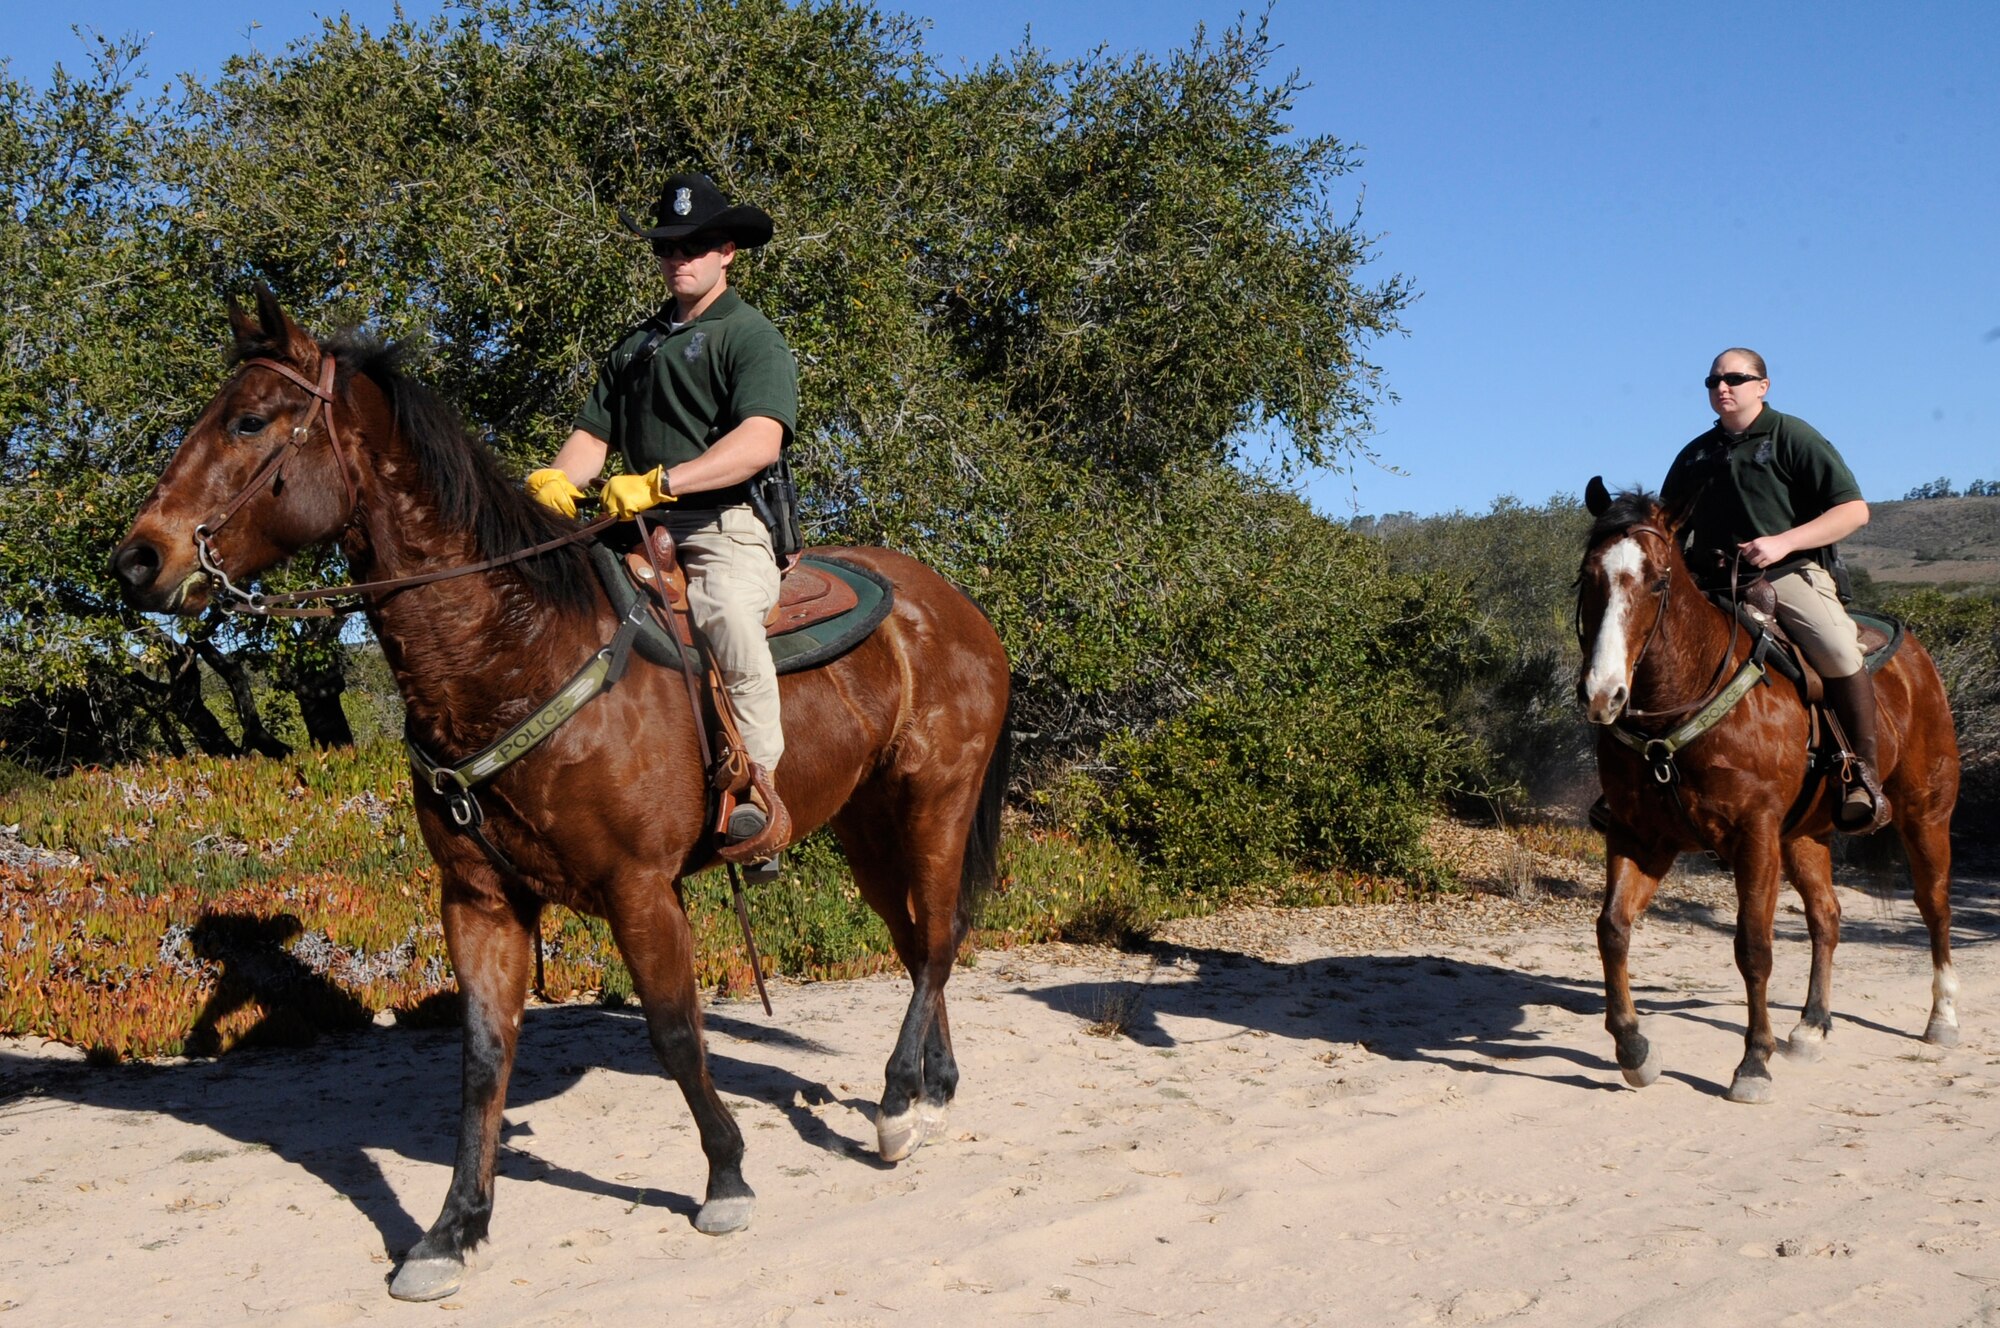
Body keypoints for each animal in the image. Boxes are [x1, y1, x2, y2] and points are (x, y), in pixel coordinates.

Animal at [111, 291, 1011, 1301]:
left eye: (251, 421)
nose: (137, 560)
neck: (514, 650)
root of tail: (955, 606)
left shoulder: (640, 889)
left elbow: (675, 1033)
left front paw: (727, 1179)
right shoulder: (479, 899)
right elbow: (482, 1059)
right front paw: (451, 1230)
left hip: (935, 800)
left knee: (938, 940)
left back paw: (897, 1104)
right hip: (864, 825)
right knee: (916, 942)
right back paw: (932, 1091)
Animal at [1575, 477, 1960, 1105]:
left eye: (1657, 581)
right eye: (1589, 577)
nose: (1603, 693)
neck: (1681, 703)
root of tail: (1917, 660)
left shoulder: (1753, 835)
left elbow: (1753, 946)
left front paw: (1754, 1061)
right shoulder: (1641, 835)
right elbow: (1613, 929)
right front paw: (1634, 1049)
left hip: (1925, 815)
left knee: (1935, 906)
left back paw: (1942, 1018)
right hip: (1804, 836)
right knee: (1827, 916)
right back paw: (1811, 1026)